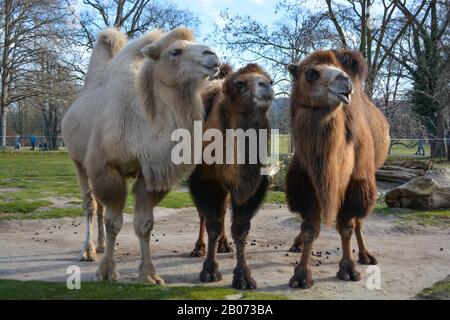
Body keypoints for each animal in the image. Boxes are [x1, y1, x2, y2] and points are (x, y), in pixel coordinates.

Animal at [187, 63, 272, 288]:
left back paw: (225, 246)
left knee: (223, 210)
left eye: (270, 79)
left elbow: (241, 229)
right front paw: (209, 271)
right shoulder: (205, 182)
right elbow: (212, 225)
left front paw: (244, 277)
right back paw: (198, 248)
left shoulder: (252, 188)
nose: (267, 85)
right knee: (204, 215)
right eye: (240, 83)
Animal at [288, 48, 390, 288]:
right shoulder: (308, 183)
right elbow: (309, 229)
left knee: (359, 220)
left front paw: (348, 269)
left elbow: (346, 227)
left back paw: (365, 255)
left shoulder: (355, 183)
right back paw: (296, 243)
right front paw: (301, 275)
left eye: (341, 70)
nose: (345, 82)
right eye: (311, 73)